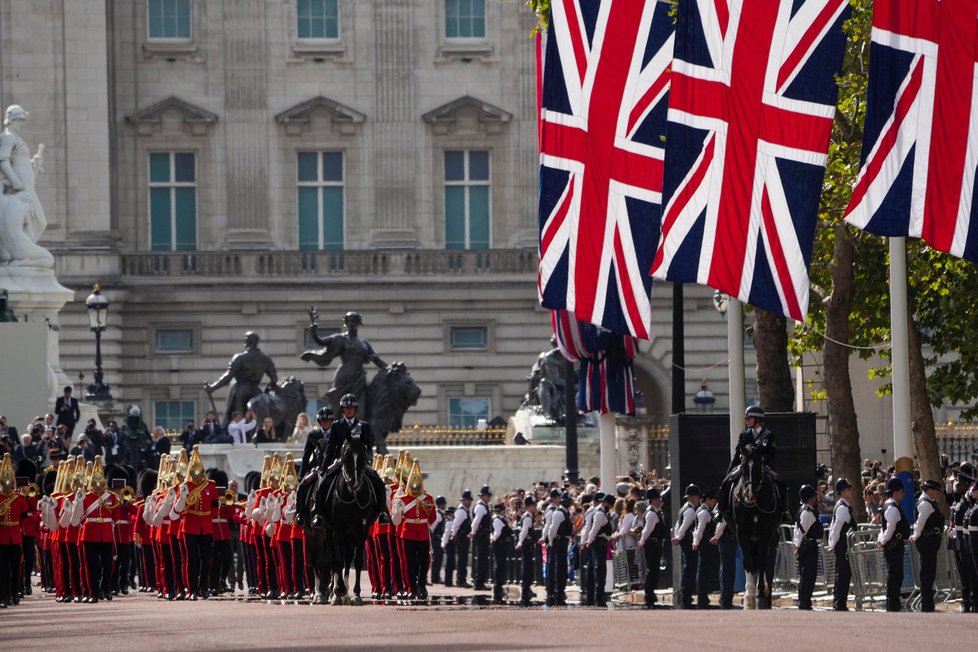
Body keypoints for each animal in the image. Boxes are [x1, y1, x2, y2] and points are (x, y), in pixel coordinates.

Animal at [304, 436, 386, 604]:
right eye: (345, 455)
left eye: (363, 453)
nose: (355, 483)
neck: (352, 498)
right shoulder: (336, 529)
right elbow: (334, 560)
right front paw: (337, 590)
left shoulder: (360, 530)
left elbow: (356, 561)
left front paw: (355, 594)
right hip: (319, 532)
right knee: (319, 559)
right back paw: (322, 593)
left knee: (344, 558)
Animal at [728, 446, 780, 608]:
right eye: (743, 466)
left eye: (759, 466)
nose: (749, 495)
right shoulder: (741, 532)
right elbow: (747, 560)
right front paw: (749, 594)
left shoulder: (766, 533)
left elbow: (763, 561)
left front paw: (761, 591)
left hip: (771, 538)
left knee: (767, 562)